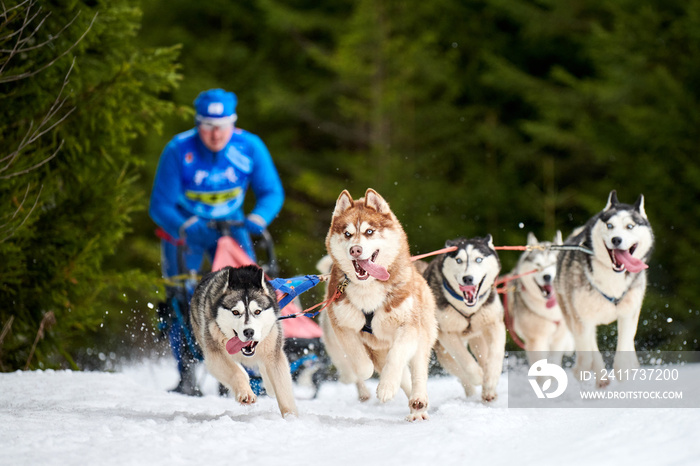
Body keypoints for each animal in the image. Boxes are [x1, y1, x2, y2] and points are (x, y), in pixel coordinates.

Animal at [190, 264, 296, 416]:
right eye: (235, 312)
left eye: (257, 311)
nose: (249, 331)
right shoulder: (215, 356)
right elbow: (236, 372)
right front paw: (246, 393)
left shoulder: (273, 351)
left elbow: (283, 389)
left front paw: (290, 417)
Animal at [322, 187, 438, 420]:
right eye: (347, 234)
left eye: (369, 231)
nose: (355, 250)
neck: (368, 290)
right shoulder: (342, 325)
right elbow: (361, 362)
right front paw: (369, 373)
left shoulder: (409, 326)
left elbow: (397, 356)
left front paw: (386, 387)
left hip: (423, 333)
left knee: (417, 370)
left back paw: (418, 402)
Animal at [418, 237, 506, 400]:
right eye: (458, 260)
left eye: (479, 259)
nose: (468, 278)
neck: (468, 307)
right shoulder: (447, 334)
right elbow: (466, 361)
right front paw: (479, 376)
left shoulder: (494, 324)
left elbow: (495, 355)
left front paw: (490, 380)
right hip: (444, 354)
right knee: (461, 373)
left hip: (478, 338)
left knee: (483, 357)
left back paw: (488, 391)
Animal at [556, 189, 652, 386]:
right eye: (609, 225)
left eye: (630, 226)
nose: (616, 239)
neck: (612, 279)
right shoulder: (581, 318)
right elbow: (587, 350)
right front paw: (583, 370)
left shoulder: (629, 312)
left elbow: (625, 341)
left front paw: (623, 368)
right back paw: (598, 376)